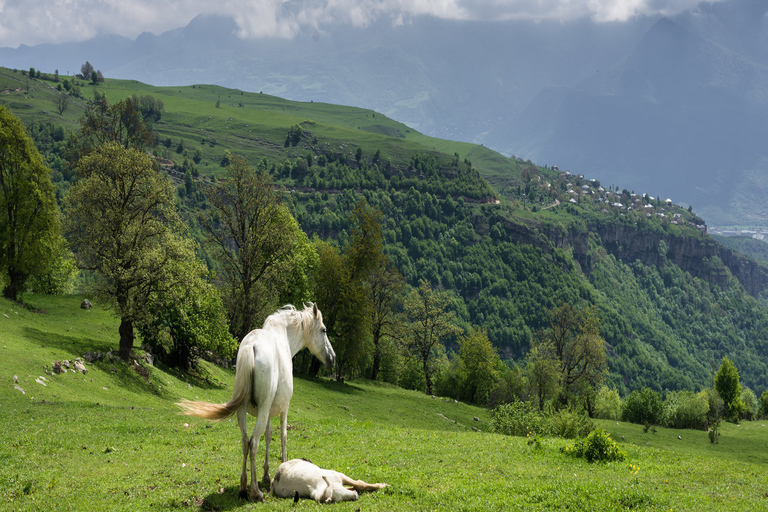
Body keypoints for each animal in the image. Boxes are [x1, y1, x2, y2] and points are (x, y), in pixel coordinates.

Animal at [182, 304, 338, 500]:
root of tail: (252, 346)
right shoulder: (283, 407)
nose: (332, 358)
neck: (284, 335)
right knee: (253, 443)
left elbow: (269, 435)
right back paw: (255, 492)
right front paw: (283, 468)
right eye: (323, 330)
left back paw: (243, 488)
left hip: (244, 411)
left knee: (244, 441)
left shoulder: (270, 411)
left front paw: (266, 475)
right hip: (263, 410)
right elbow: (283, 436)